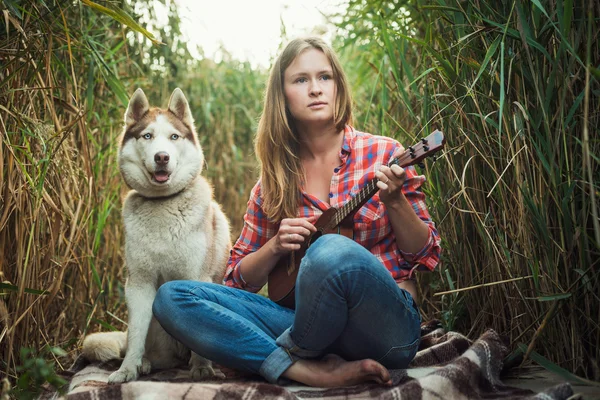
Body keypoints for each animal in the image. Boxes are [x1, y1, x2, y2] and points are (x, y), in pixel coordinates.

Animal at [80, 88, 230, 384]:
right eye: (147, 136)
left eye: (174, 137)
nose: (162, 157)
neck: (164, 205)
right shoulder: (139, 283)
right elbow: (137, 335)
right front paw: (127, 369)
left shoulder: (196, 276)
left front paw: (202, 368)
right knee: (144, 346)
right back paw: (146, 363)